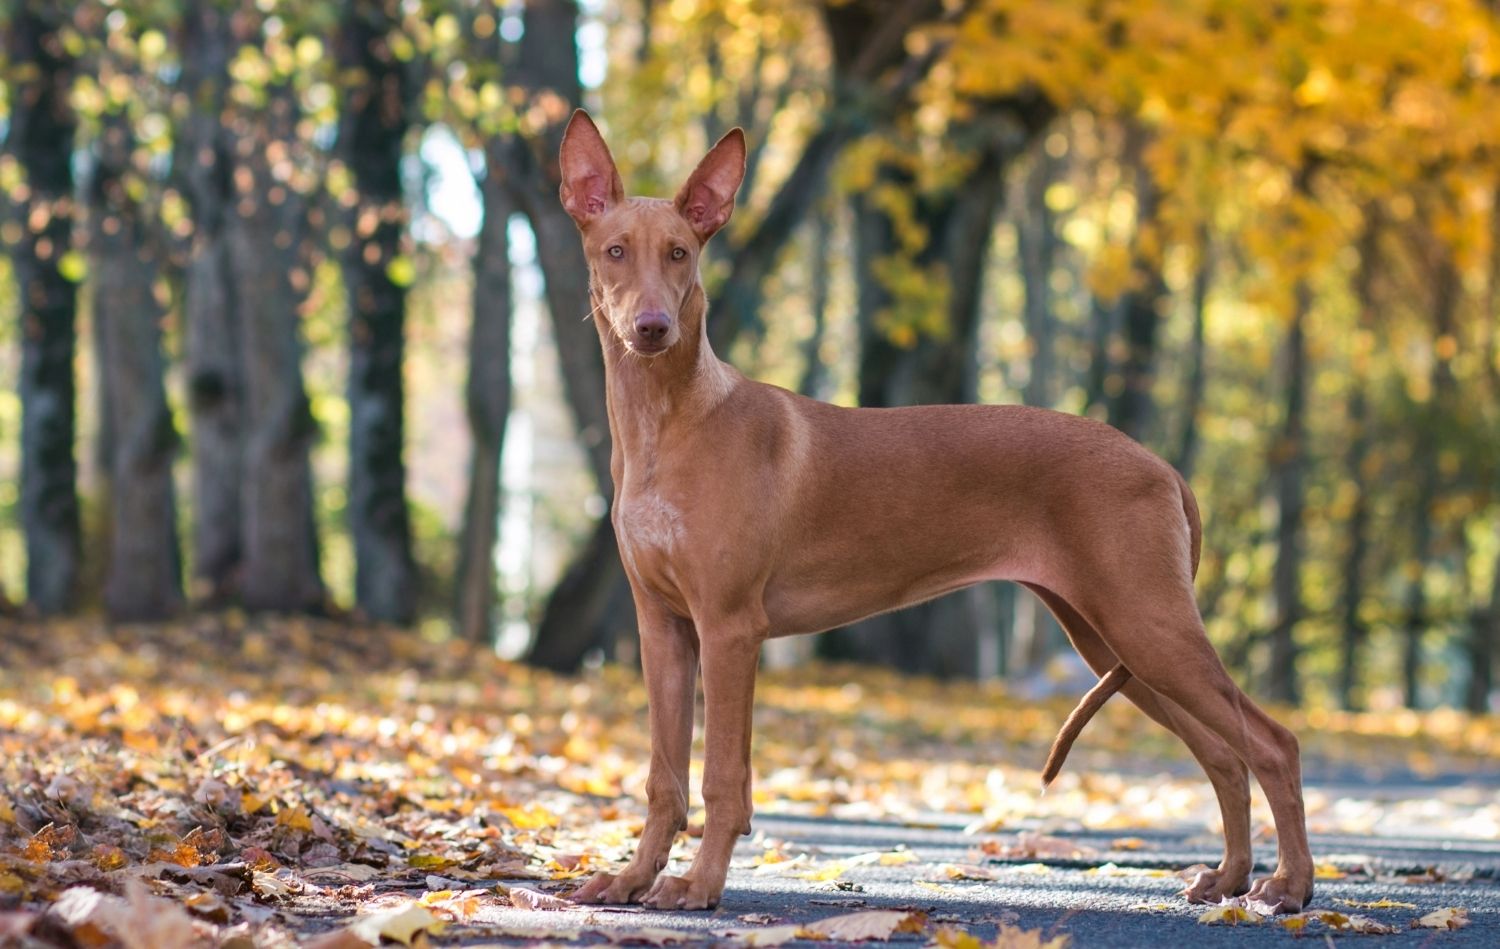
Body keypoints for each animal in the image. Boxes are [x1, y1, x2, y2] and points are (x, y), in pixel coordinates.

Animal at [558, 109, 1308, 911]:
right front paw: (632, 879)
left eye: (680, 252)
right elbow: (663, 777)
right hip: (1115, 642)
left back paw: (1289, 885)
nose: (652, 327)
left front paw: (699, 886)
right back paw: (1230, 877)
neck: (668, 422)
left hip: (1147, 626)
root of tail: (1161, 464)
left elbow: (723, 778)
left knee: (1273, 743)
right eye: (614, 251)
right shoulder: (663, 627)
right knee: (1224, 754)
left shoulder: (730, 628)